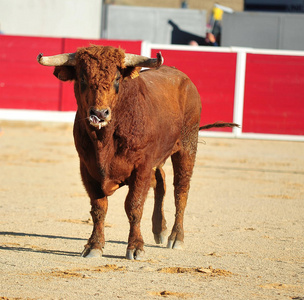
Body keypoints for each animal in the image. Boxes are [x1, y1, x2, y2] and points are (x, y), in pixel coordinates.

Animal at [37, 45, 238, 258]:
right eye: (82, 78)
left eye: (117, 79)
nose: (99, 113)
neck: (104, 140)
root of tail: (184, 79)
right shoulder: (87, 168)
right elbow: (99, 208)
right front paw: (94, 246)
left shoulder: (141, 167)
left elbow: (134, 206)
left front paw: (135, 247)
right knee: (161, 183)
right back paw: (159, 230)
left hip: (187, 146)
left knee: (181, 190)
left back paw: (176, 237)